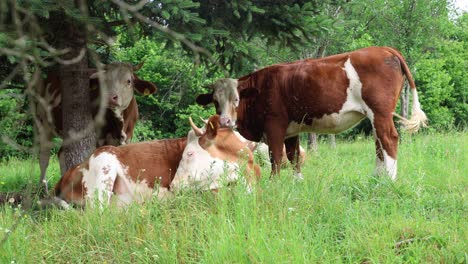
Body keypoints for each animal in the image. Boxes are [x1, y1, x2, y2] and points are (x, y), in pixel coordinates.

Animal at [34, 61, 158, 192]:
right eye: (105, 81)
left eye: (128, 81)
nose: (110, 97)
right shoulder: (98, 139)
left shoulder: (127, 138)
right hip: (43, 123)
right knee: (44, 156)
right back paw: (42, 186)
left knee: (61, 153)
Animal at [197, 46, 428, 180]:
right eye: (215, 101)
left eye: (236, 99)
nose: (225, 121)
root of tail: (384, 49)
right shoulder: (291, 130)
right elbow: (294, 157)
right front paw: (296, 183)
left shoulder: (274, 126)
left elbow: (276, 158)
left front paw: (274, 184)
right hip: (375, 116)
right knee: (379, 143)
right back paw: (376, 177)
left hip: (380, 112)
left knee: (389, 139)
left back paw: (388, 179)